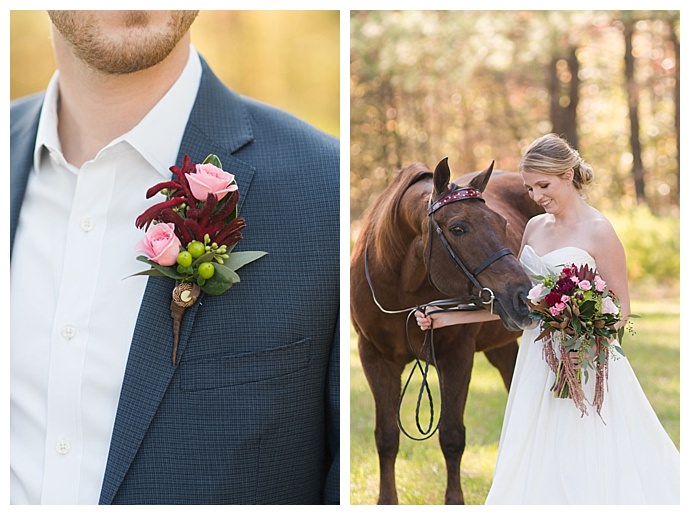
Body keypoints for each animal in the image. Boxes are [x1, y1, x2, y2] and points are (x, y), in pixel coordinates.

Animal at [350, 157, 544, 504]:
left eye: (503, 224)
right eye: (458, 228)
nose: (524, 296)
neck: (401, 286)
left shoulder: (456, 357)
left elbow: (452, 436)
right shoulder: (373, 356)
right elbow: (386, 436)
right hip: (501, 347)